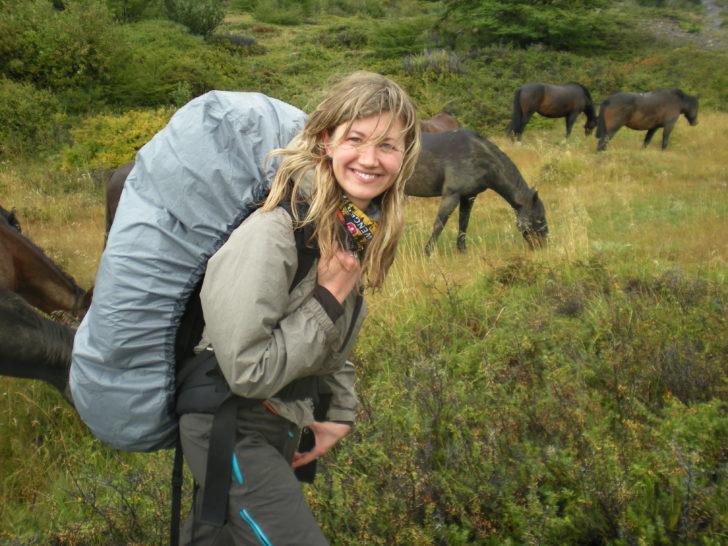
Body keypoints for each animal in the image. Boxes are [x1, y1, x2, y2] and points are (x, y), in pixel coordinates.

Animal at [406, 129, 548, 254]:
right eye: (539, 218)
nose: (543, 244)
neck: (478, 155)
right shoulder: (451, 195)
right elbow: (439, 224)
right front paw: (428, 252)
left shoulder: (468, 196)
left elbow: (463, 222)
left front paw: (462, 250)